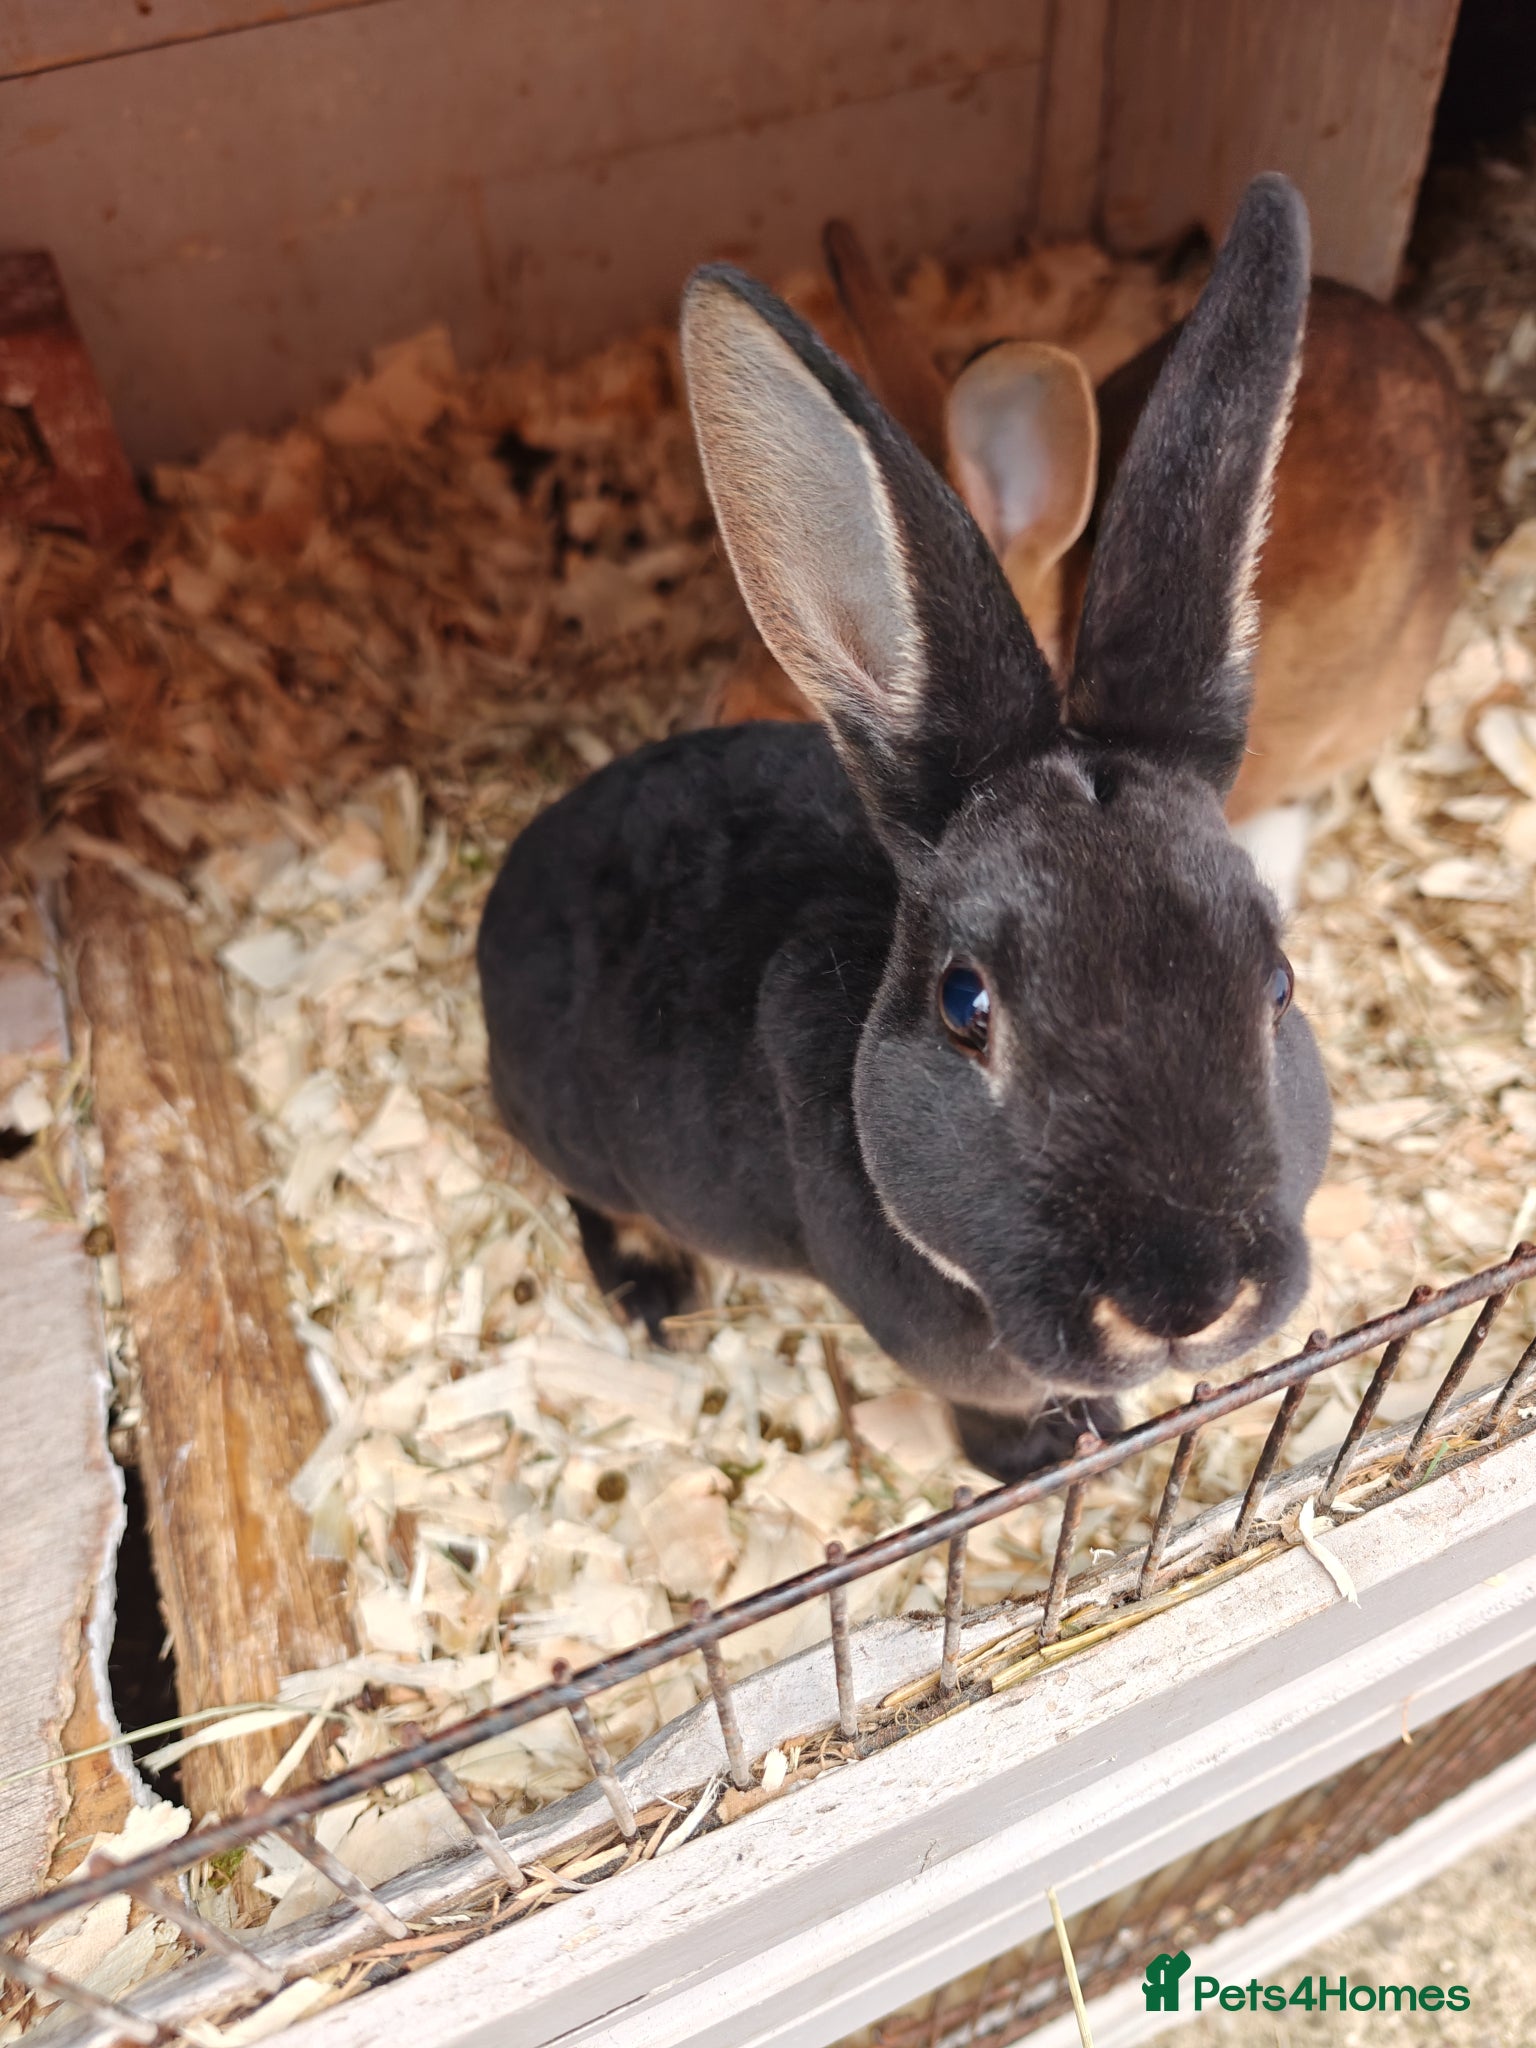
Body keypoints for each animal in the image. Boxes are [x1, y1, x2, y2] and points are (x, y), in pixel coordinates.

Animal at [478, 175, 1333, 1483]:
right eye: (965, 1004)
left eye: (1278, 982)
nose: (1185, 1296)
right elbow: (982, 1407)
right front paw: (1050, 1456)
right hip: (571, 1125)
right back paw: (657, 1293)